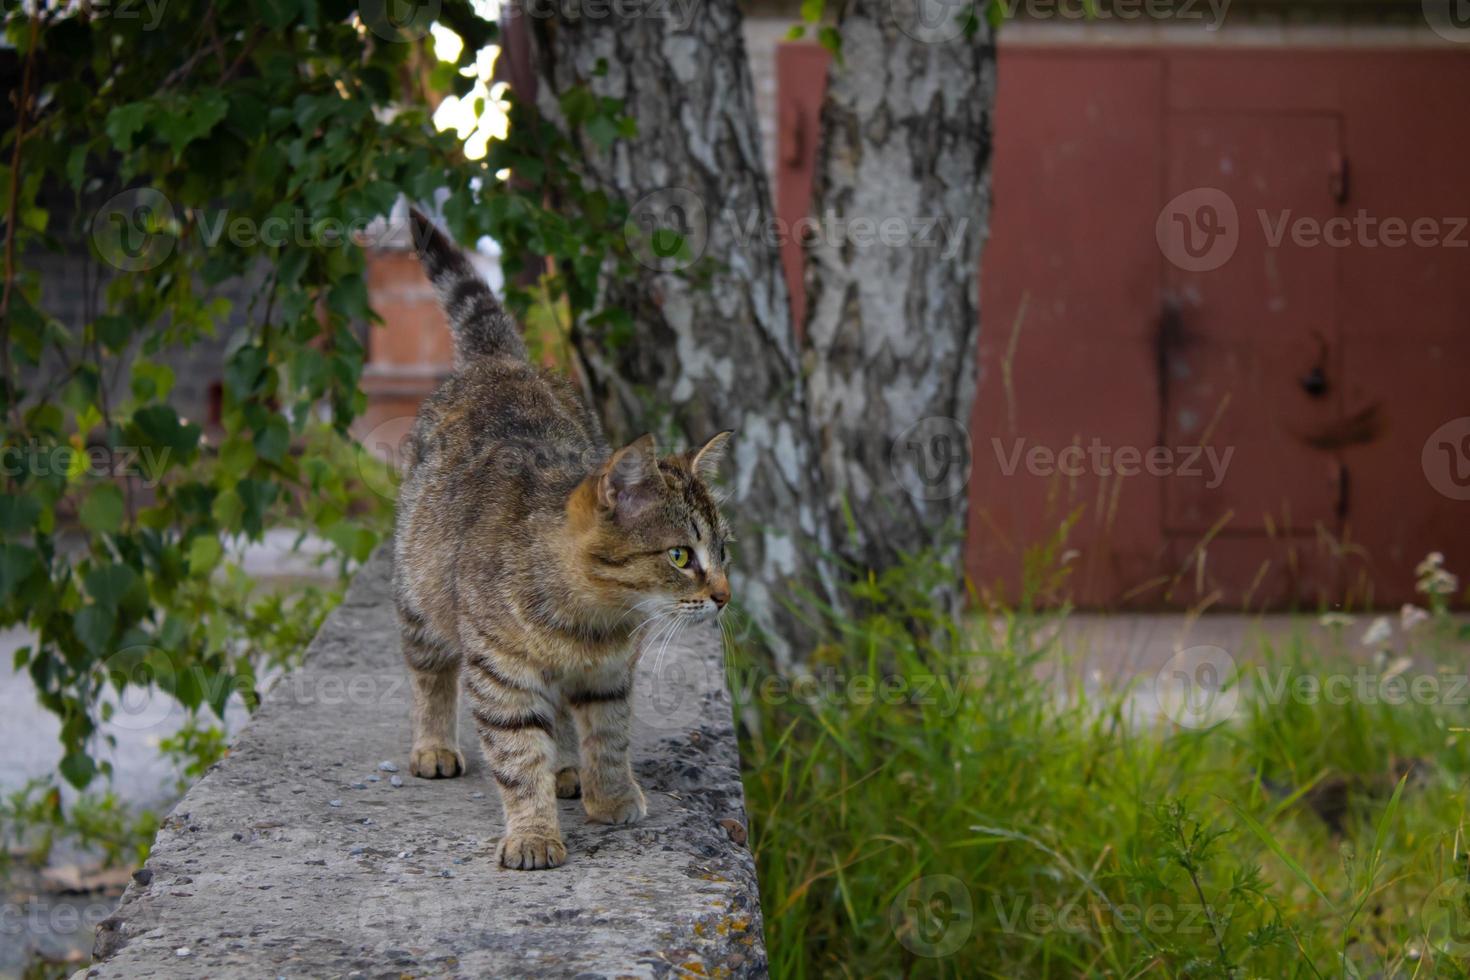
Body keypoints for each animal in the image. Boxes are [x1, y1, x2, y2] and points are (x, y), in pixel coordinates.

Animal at [396, 211, 735, 869]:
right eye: (681, 555)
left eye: (723, 551)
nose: (725, 596)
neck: (591, 617)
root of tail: (500, 362)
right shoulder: (501, 673)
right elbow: (517, 756)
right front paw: (533, 832)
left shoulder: (609, 673)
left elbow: (608, 734)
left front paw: (611, 794)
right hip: (418, 594)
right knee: (431, 673)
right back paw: (433, 743)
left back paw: (568, 769)